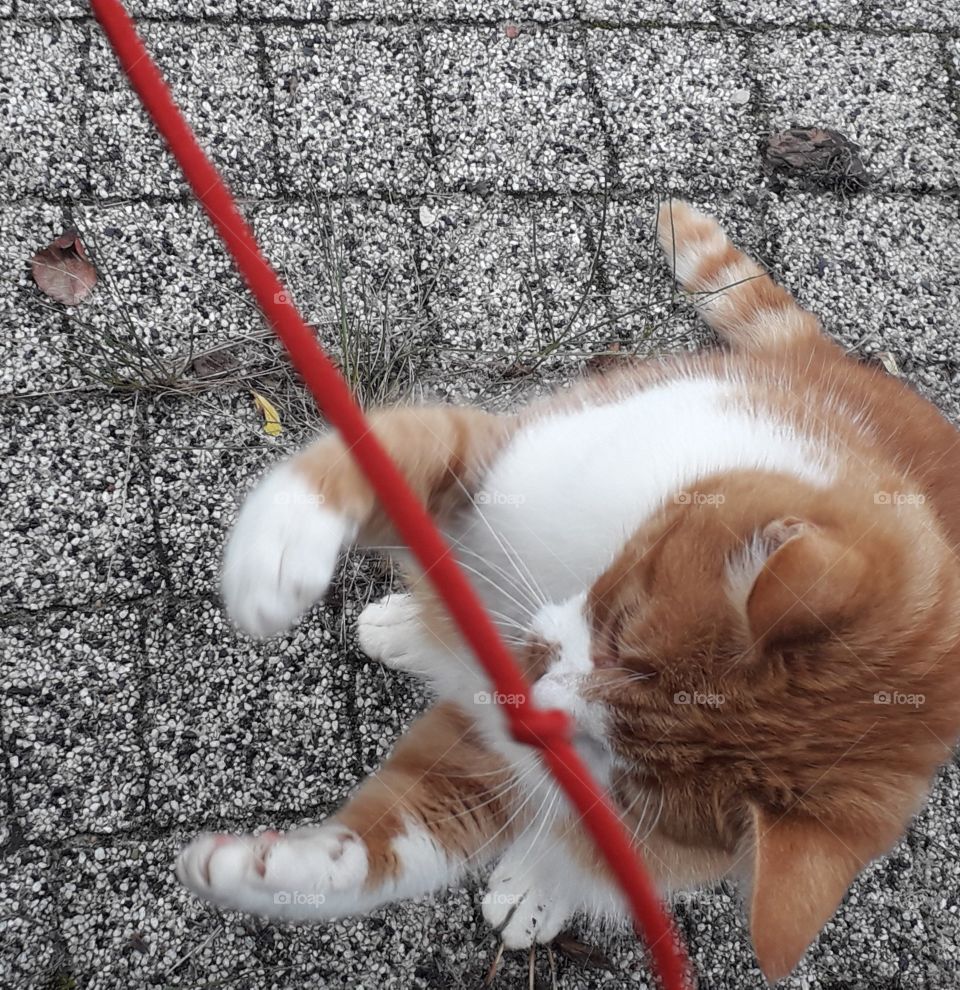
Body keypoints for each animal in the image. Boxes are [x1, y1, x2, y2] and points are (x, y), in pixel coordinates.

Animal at [174, 203, 960, 984]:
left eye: (614, 766)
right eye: (622, 625)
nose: (525, 702)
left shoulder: (505, 759)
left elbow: (417, 838)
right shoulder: (487, 468)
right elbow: (384, 457)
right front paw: (278, 547)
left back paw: (537, 883)